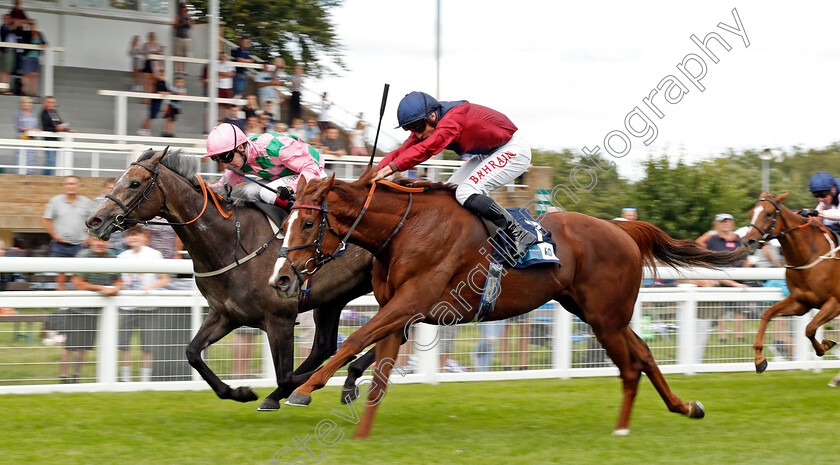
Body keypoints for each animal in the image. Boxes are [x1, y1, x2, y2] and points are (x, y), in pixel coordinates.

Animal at [85, 149, 374, 410]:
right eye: (118, 179)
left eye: (134, 183)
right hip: (335, 296)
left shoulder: (279, 317)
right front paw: (240, 392)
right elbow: (192, 352)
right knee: (325, 345)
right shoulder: (226, 314)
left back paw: (351, 372)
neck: (231, 243)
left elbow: (285, 375)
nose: (94, 220)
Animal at [270, 169, 740, 436]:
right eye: (287, 219)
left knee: (630, 365)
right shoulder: (399, 311)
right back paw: (686, 407)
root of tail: (621, 229)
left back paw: (622, 430)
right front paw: (359, 432)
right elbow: (376, 374)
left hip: (605, 317)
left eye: (308, 222)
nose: (281, 278)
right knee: (643, 353)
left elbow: (353, 343)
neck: (406, 230)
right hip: (594, 311)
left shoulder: (410, 304)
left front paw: (303, 388)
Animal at [740, 190, 840, 372]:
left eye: (769, 213)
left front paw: (824, 346)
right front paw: (759, 359)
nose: (748, 242)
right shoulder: (800, 303)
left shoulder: (835, 303)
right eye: (751, 212)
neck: (809, 256)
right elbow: (768, 313)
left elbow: (809, 328)